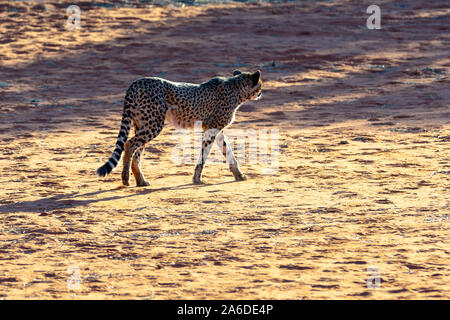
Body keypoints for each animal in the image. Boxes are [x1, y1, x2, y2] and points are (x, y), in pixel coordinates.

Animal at [96, 69, 262, 186]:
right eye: (260, 84)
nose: (261, 93)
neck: (236, 88)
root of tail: (136, 82)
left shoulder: (215, 129)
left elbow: (228, 151)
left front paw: (239, 175)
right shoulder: (211, 129)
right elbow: (204, 155)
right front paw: (197, 179)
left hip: (142, 123)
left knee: (137, 151)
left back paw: (141, 181)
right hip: (154, 124)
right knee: (129, 144)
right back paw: (125, 178)